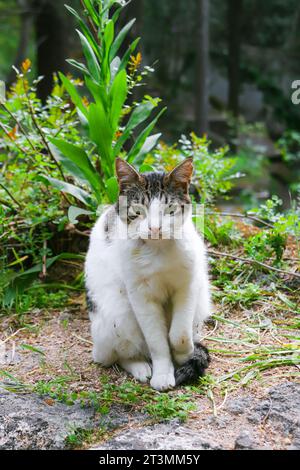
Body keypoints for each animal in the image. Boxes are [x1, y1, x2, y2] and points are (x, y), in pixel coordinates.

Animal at [84, 156, 211, 392]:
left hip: (201, 303)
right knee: (114, 355)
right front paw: (162, 373)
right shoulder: (141, 296)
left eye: (169, 209)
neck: (158, 249)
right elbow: (157, 341)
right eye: (138, 210)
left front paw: (185, 355)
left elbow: (179, 334)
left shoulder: (188, 285)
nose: (154, 228)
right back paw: (140, 367)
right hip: (117, 313)